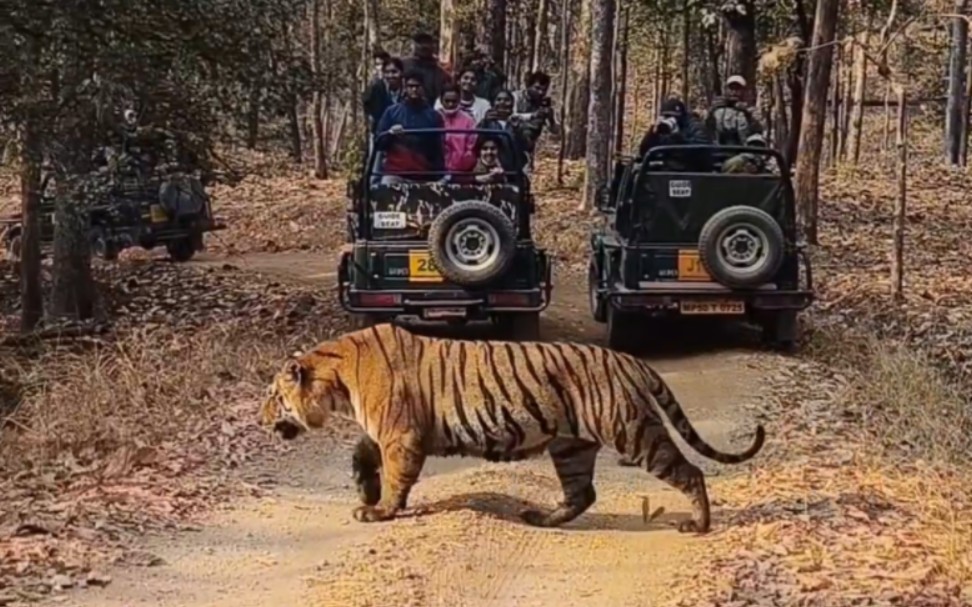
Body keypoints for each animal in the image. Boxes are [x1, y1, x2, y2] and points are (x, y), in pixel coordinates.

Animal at [262, 324, 764, 532]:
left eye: (272, 397)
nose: (260, 418)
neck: (337, 385)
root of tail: (630, 360)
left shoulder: (400, 435)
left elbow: (397, 477)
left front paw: (380, 509)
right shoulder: (383, 430)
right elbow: (361, 454)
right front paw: (365, 490)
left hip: (633, 431)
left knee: (690, 472)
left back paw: (698, 526)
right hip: (571, 446)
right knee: (583, 494)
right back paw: (540, 518)